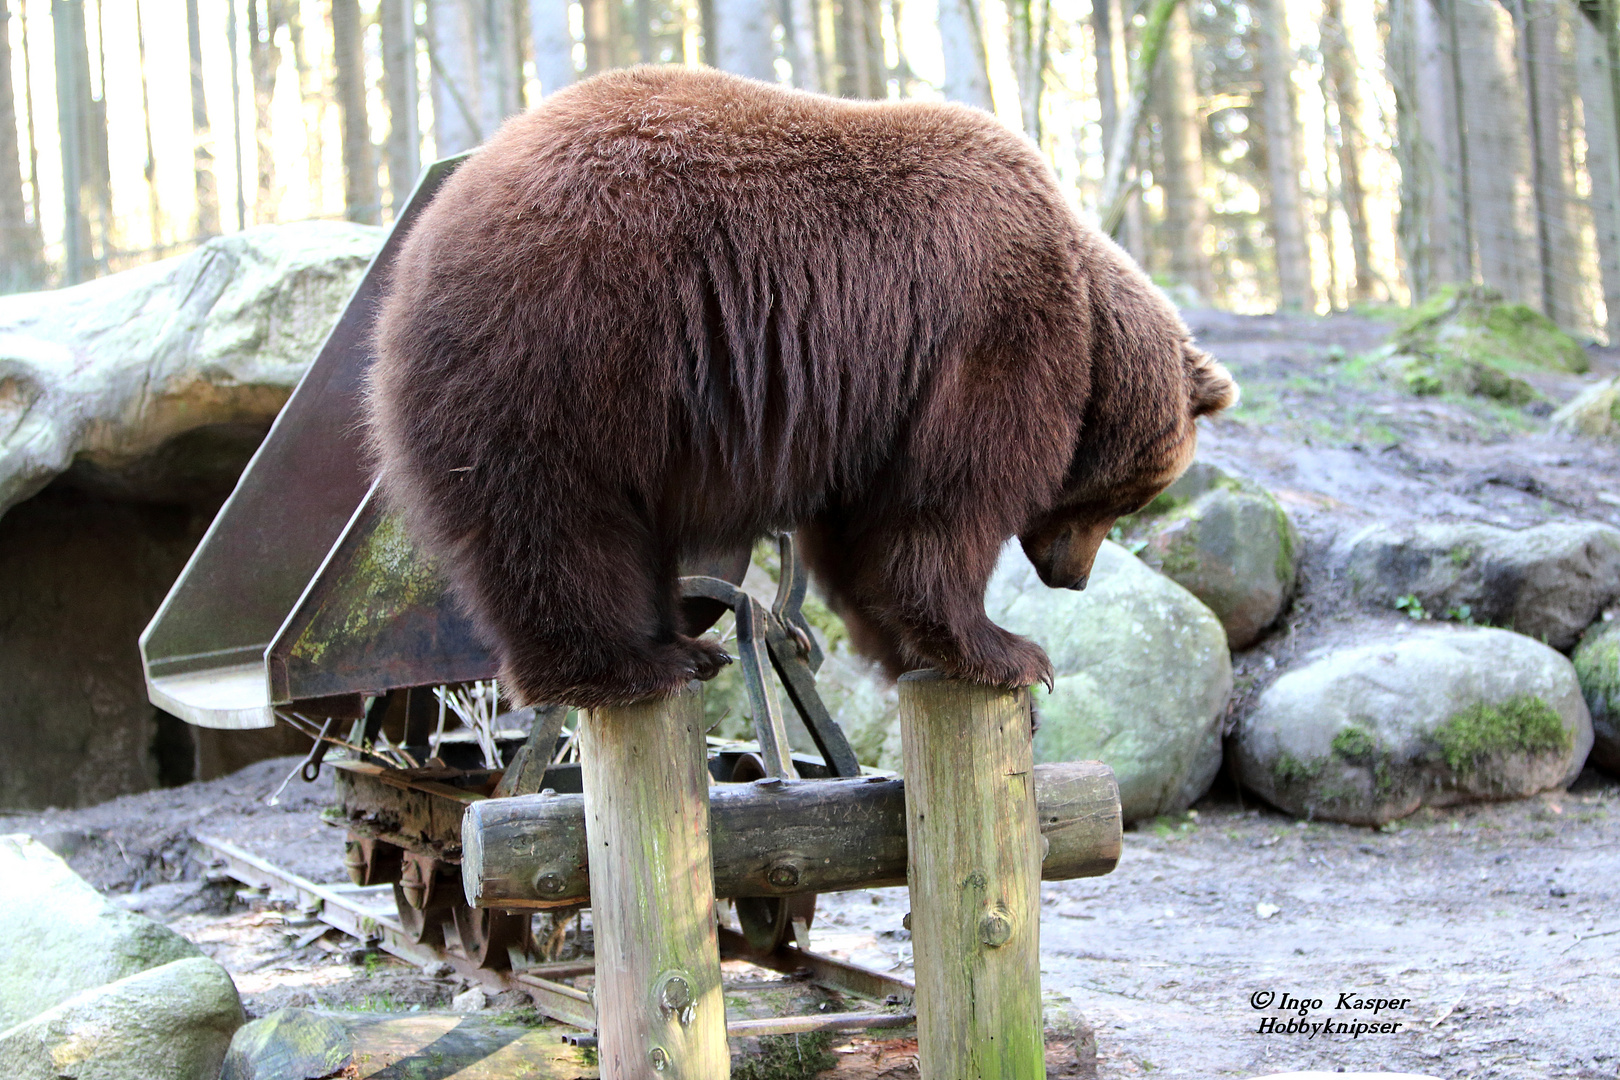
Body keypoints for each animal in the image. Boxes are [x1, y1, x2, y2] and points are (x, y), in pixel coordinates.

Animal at [367, 65, 1231, 709]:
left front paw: (908, 650)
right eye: (1133, 496)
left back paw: (683, 643)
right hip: (568, 348)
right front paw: (1011, 652)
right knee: (559, 523)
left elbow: (866, 533)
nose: (1071, 577)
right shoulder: (990, 329)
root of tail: (419, 241)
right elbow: (950, 500)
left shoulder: (871, 402)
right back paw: (630, 666)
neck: (1088, 310)